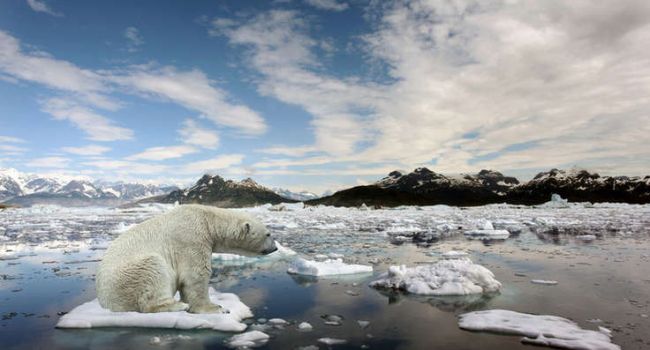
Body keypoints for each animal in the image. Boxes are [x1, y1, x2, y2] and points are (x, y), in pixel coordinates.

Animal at [96, 204, 276, 314]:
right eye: (268, 234)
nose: (275, 248)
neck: (207, 219)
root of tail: (105, 304)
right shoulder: (191, 239)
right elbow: (196, 275)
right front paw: (217, 308)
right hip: (128, 277)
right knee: (153, 270)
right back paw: (177, 305)